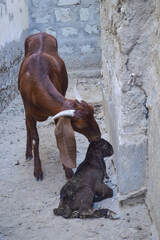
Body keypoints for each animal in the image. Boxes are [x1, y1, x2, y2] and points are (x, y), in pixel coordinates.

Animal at [18, 32, 100, 181]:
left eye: (93, 114)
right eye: (81, 125)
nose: (98, 136)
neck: (34, 85)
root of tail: (41, 33)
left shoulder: (56, 114)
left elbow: (59, 136)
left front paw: (67, 170)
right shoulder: (29, 112)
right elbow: (35, 138)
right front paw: (37, 170)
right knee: (27, 127)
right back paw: (28, 153)